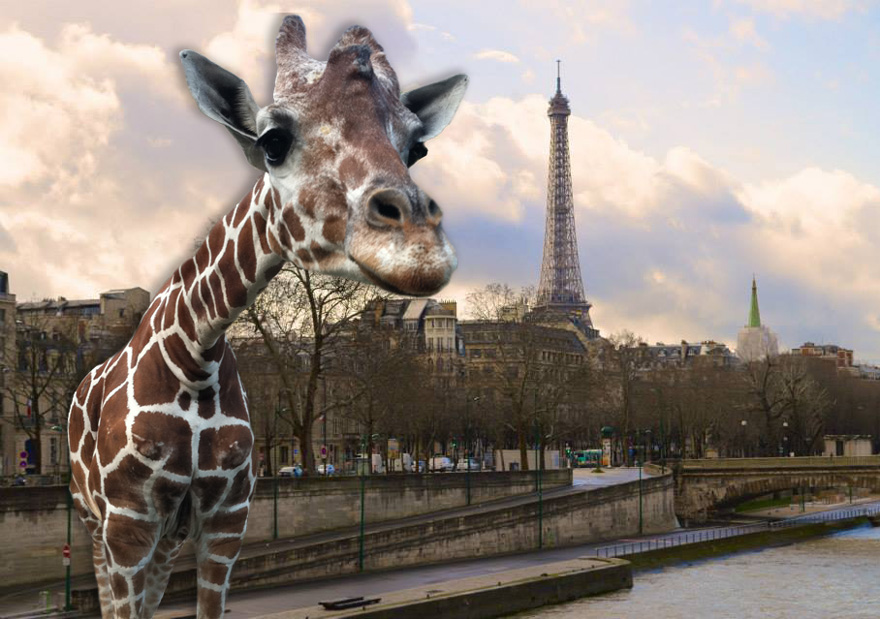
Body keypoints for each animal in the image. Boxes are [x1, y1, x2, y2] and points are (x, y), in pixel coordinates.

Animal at [67, 15, 467, 618]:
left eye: (416, 147)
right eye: (272, 141)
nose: (420, 249)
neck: (195, 356)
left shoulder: (226, 519)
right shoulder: (127, 524)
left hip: (167, 535)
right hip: (96, 524)